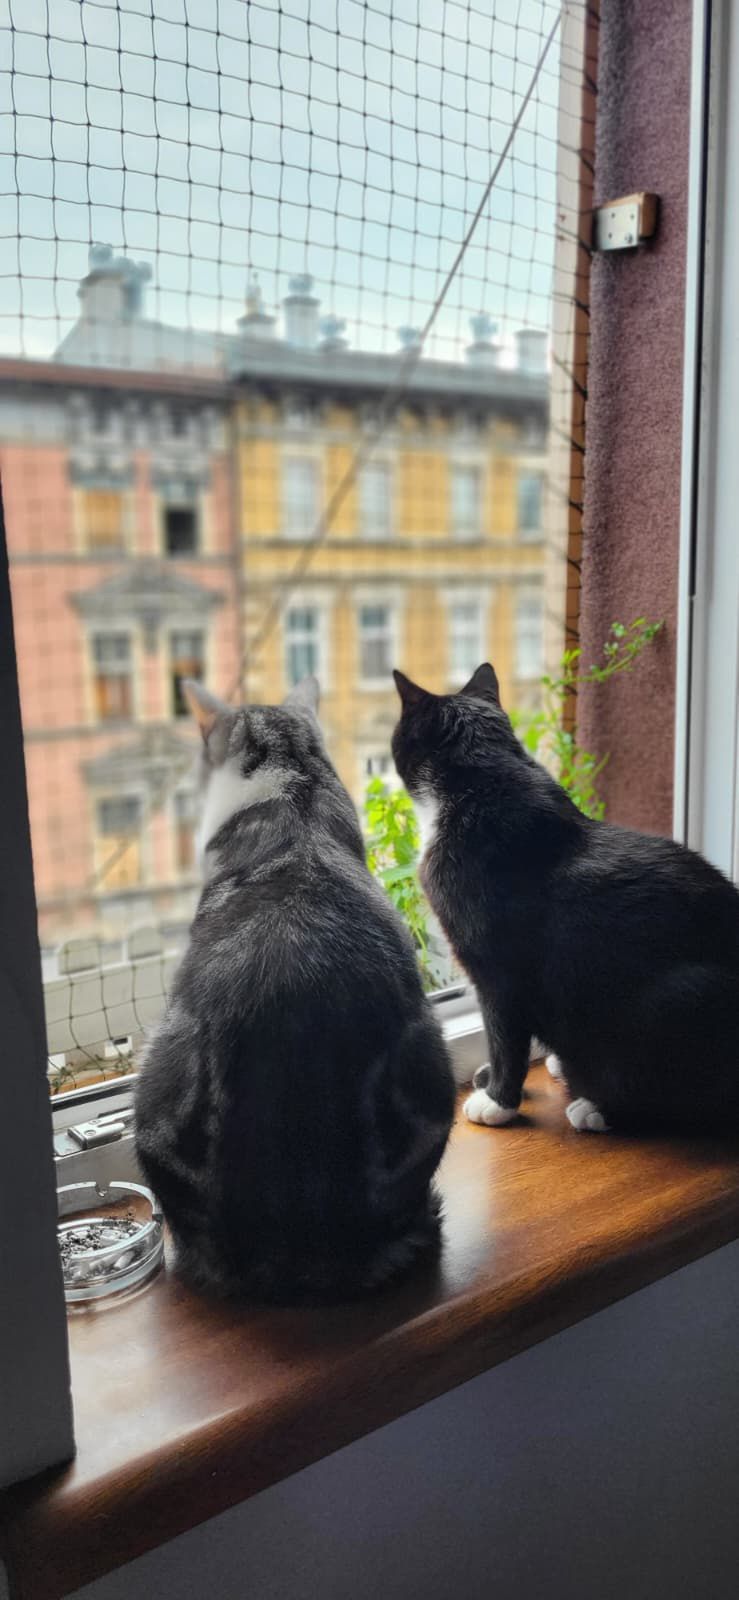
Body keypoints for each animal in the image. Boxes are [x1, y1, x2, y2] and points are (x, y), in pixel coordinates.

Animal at [391, 662, 739, 1137]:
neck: (483, 782)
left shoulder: (499, 972)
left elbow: (504, 1036)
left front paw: (499, 1100)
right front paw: (491, 1078)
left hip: (683, 995)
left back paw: (596, 1107)